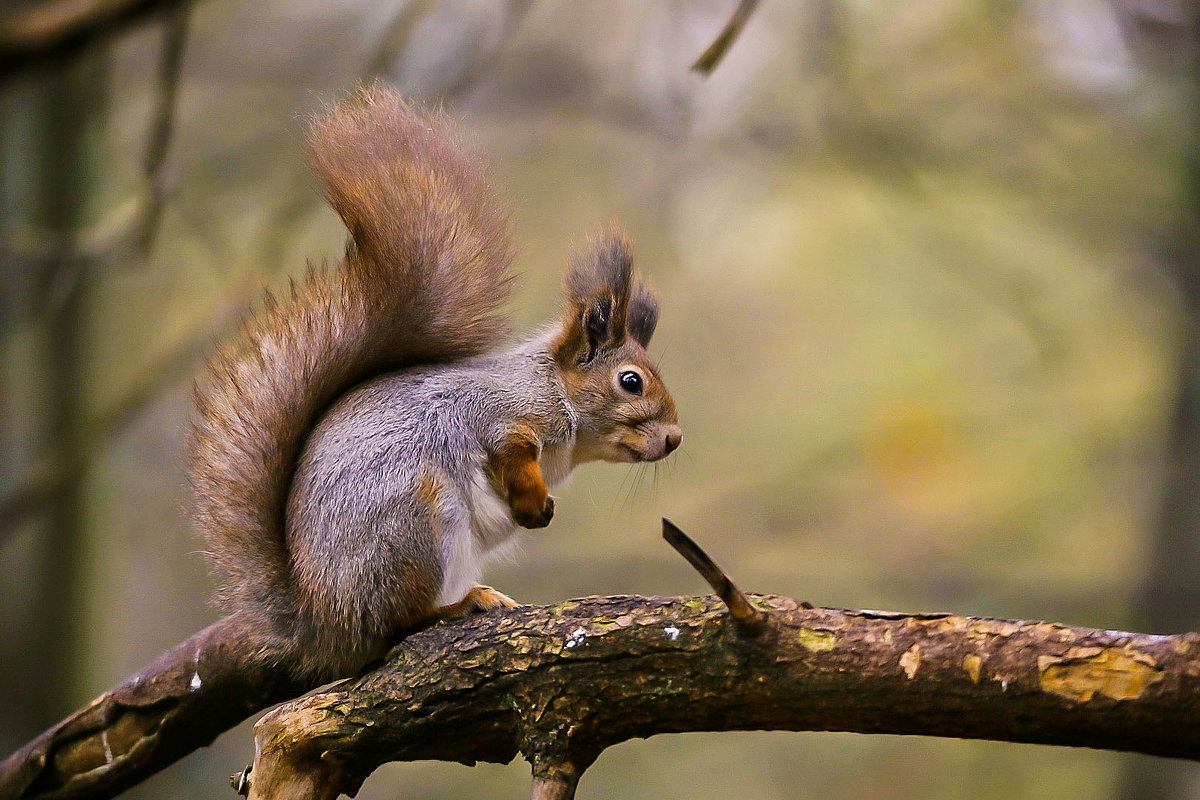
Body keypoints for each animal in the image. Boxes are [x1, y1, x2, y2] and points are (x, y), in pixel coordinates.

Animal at [186, 86, 676, 681]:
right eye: (631, 382)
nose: (675, 438)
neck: (556, 396)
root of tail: (326, 627)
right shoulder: (500, 415)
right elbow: (509, 452)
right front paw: (535, 505)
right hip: (415, 521)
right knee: (400, 622)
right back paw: (461, 605)